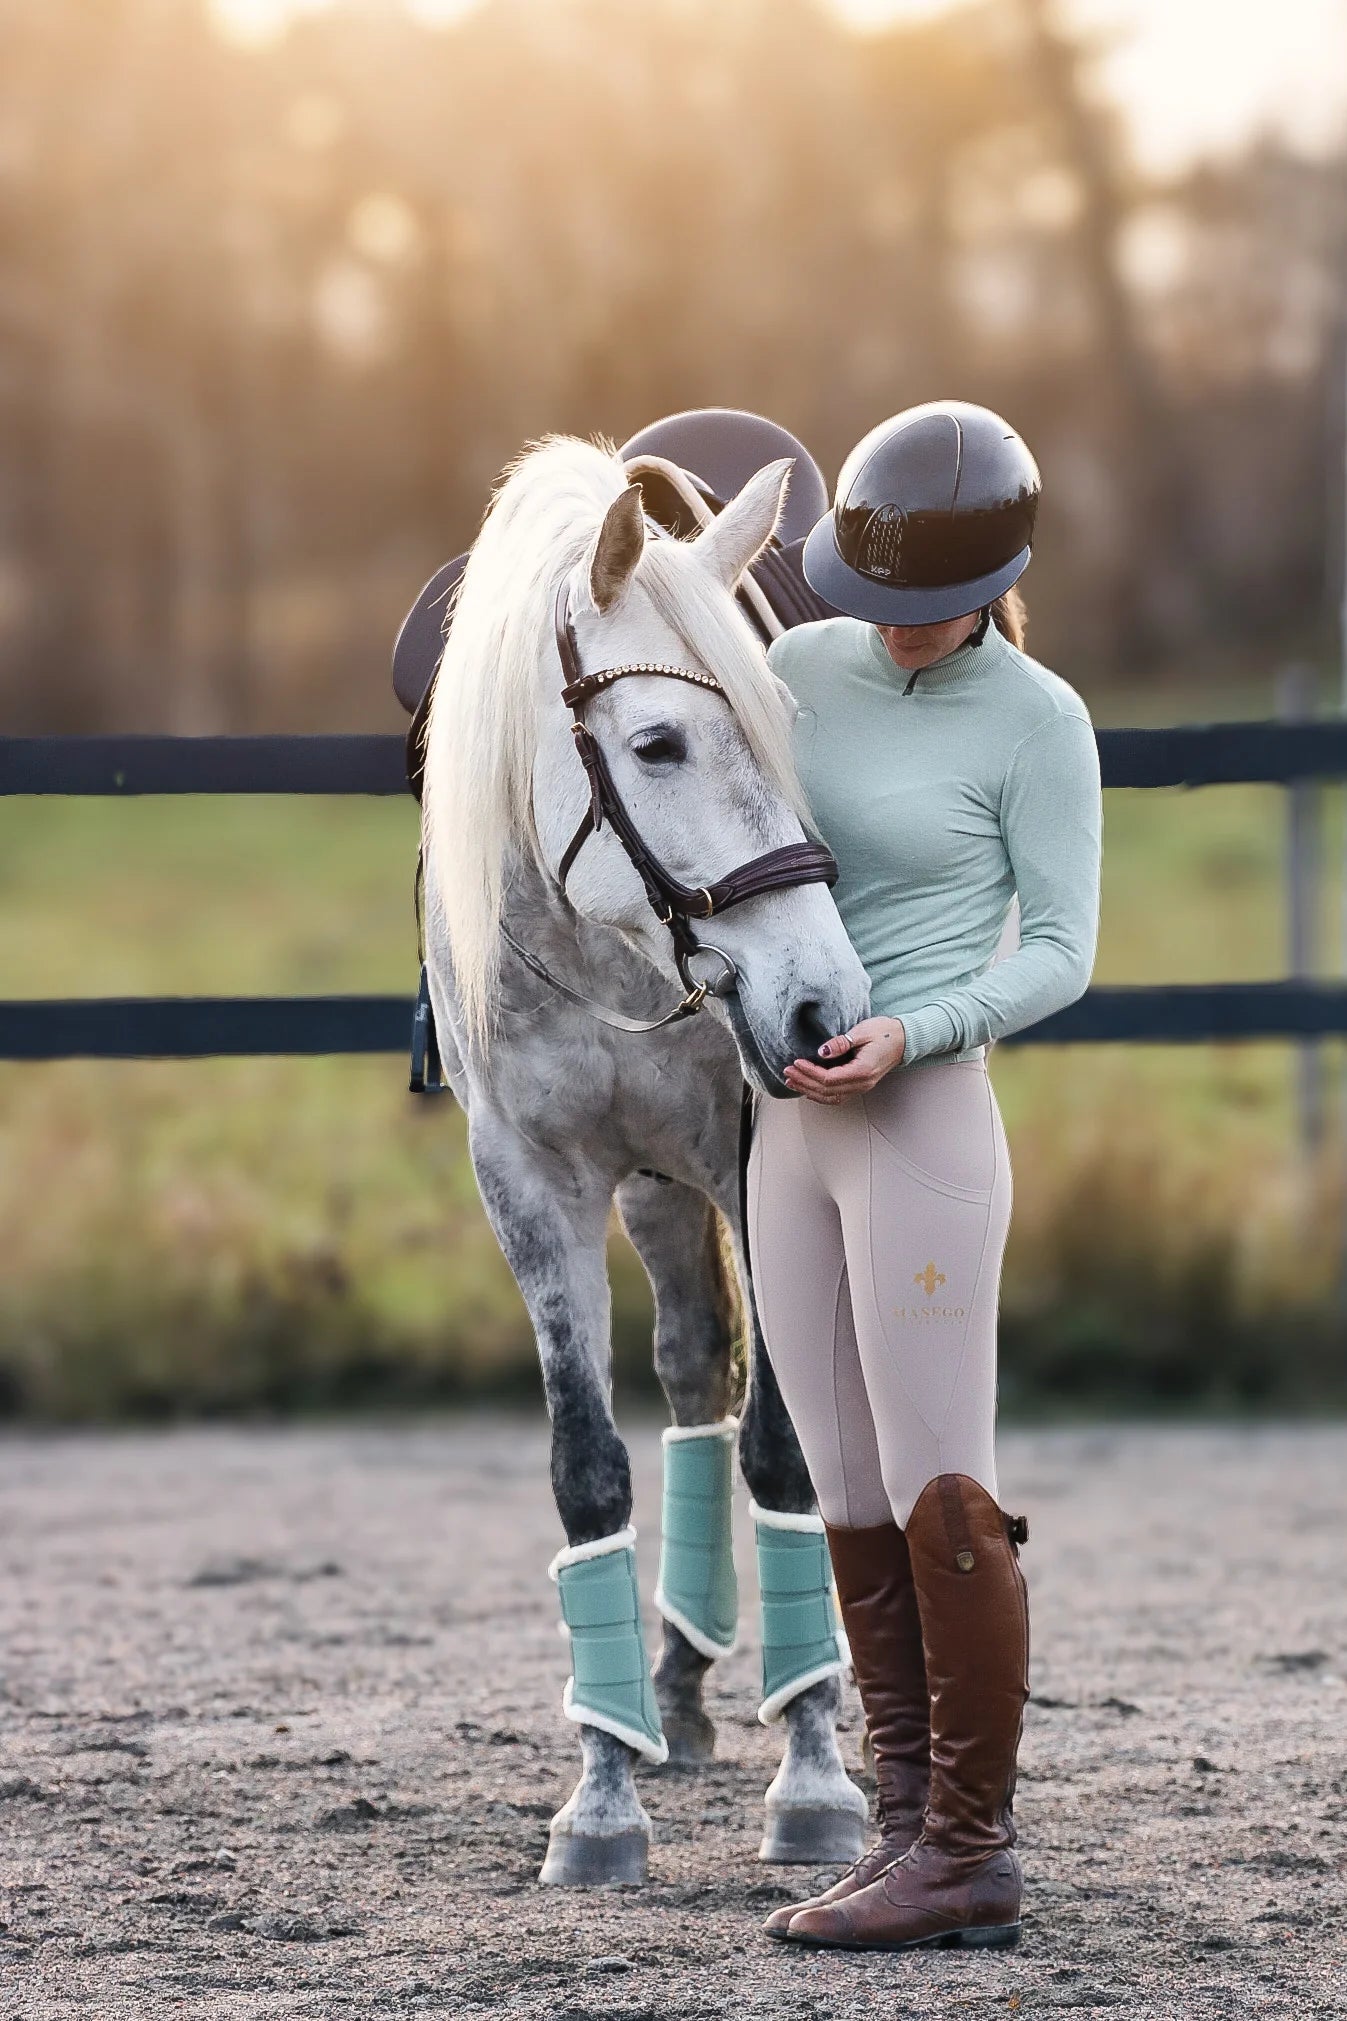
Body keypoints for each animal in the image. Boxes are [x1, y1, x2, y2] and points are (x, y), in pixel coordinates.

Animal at [416, 428, 874, 1886]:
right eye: (658, 741)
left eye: (786, 728)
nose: (821, 1009)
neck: (602, 946)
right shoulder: (531, 1186)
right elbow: (590, 1470)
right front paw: (602, 1793)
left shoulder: (754, 1168)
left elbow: (786, 1453)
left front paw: (814, 1776)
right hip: (659, 1195)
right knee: (690, 1370)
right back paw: (672, 1686)